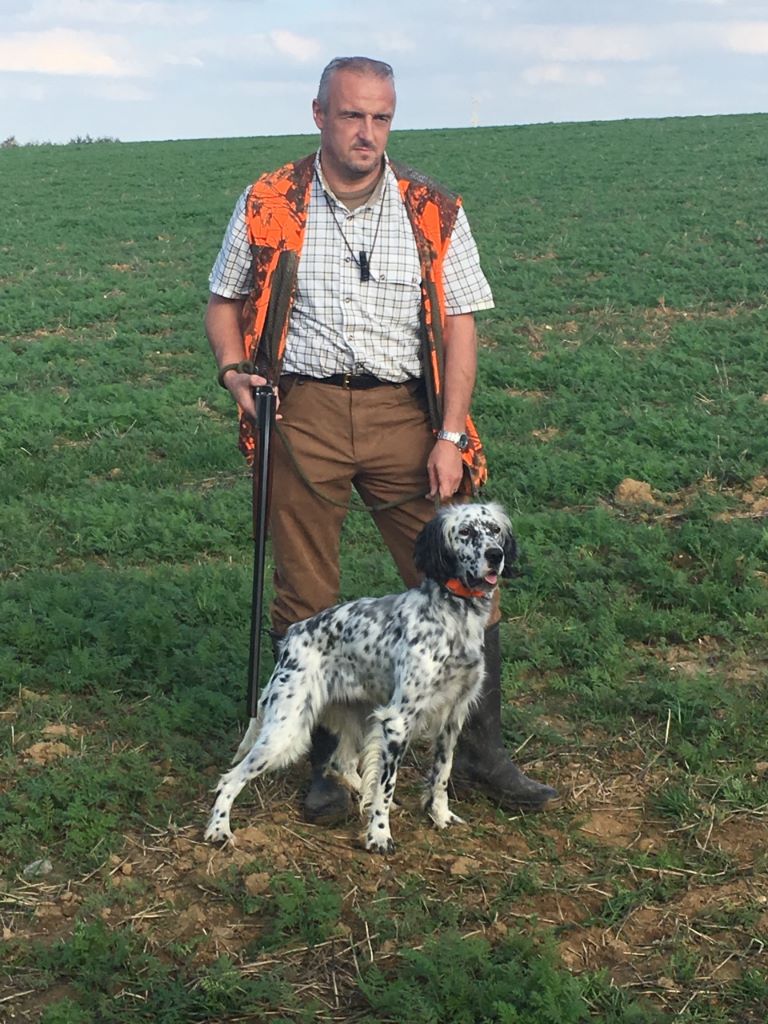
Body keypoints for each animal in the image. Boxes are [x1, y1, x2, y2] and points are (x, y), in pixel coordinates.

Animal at [204, 499, 518, 851]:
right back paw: (218, 829)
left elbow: (441, 772)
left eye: (494, 530)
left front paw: (440, 816)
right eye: (465, 531)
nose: (495, 555)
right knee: (230, 779)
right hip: (286, 730)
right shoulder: (398, 720)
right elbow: (386, 786)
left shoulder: (453, 715)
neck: (455, 615)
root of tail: (292, 636)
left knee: (341, 764)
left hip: (356, 713)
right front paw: (379, 834)